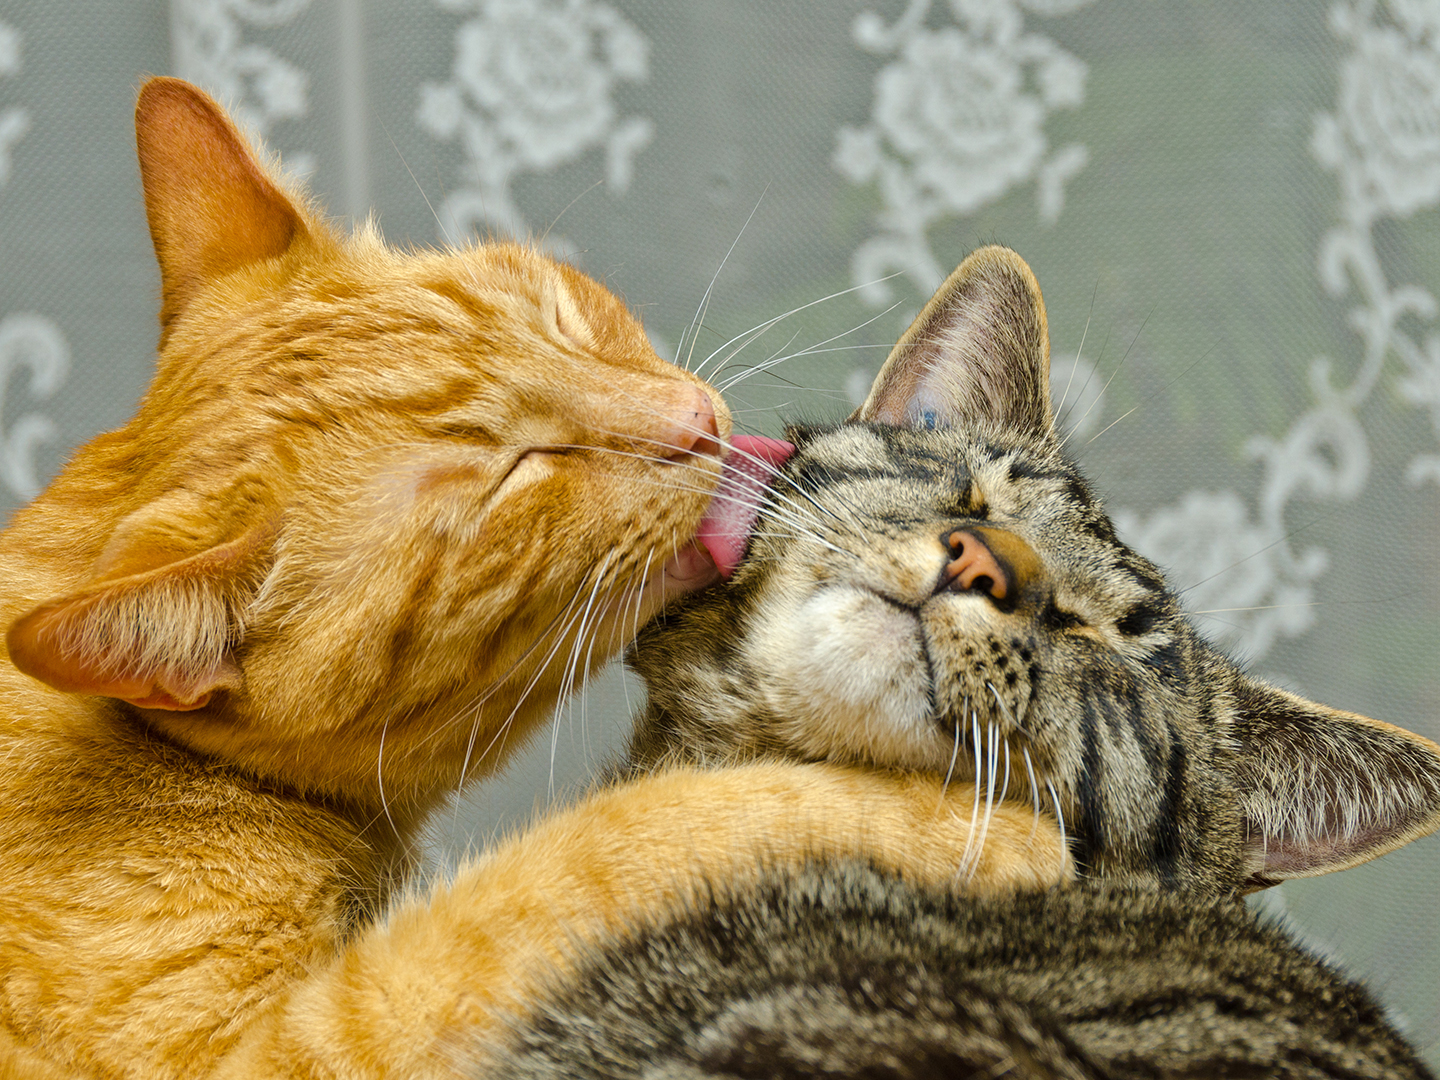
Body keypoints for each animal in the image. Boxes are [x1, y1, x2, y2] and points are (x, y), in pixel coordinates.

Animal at [0, 80, 1065, 1080]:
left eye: (555, 315)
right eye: (514, 475)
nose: (693, 422)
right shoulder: (293, 1043)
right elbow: (609, 845)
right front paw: (961, 825)